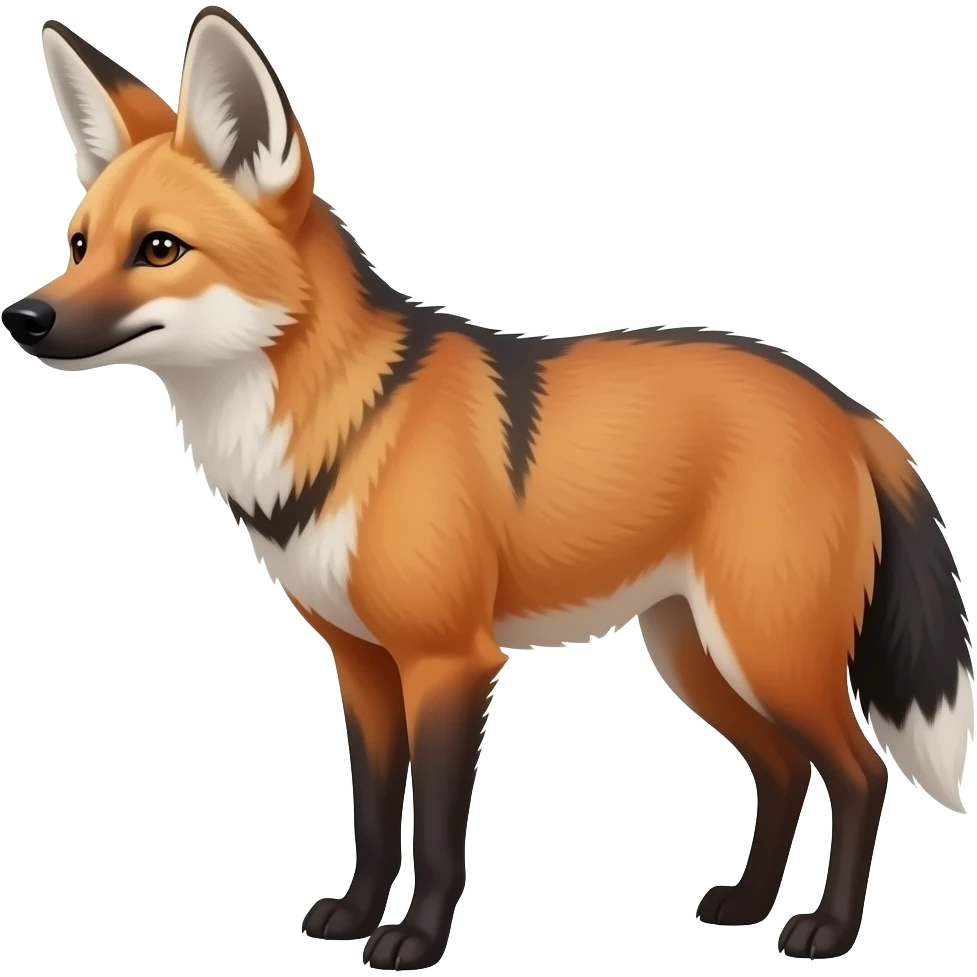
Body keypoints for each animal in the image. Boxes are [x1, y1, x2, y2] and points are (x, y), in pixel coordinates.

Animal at [3, 8, 973, 969]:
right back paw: (747, 904)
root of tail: (845, 405)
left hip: (767, 652)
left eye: (159, 248)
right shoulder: (361, 663)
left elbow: (434, 832)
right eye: (78, 245)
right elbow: (373, 819)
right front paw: (356, 914)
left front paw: (415, 940)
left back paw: (826, 929)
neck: (342, 429)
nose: (23, 317)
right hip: (696, 655)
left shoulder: (450, 661)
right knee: (783, 767)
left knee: (859, 772)